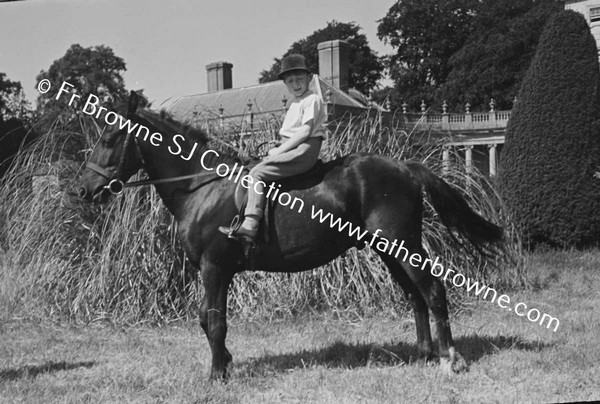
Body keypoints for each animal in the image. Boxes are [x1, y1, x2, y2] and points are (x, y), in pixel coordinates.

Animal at [78, 91, 502, 378]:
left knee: (432, 291)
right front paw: (225, 362)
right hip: (387, 249)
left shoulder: (214, 268)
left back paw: (450, 358)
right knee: (415, 295)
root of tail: (406, 167)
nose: (84, 190)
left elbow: (214, 321)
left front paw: (217, 375)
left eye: (109, 140)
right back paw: (425, 353)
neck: (202, 185)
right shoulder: (216, 271)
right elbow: (206, 320)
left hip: (402, 245)